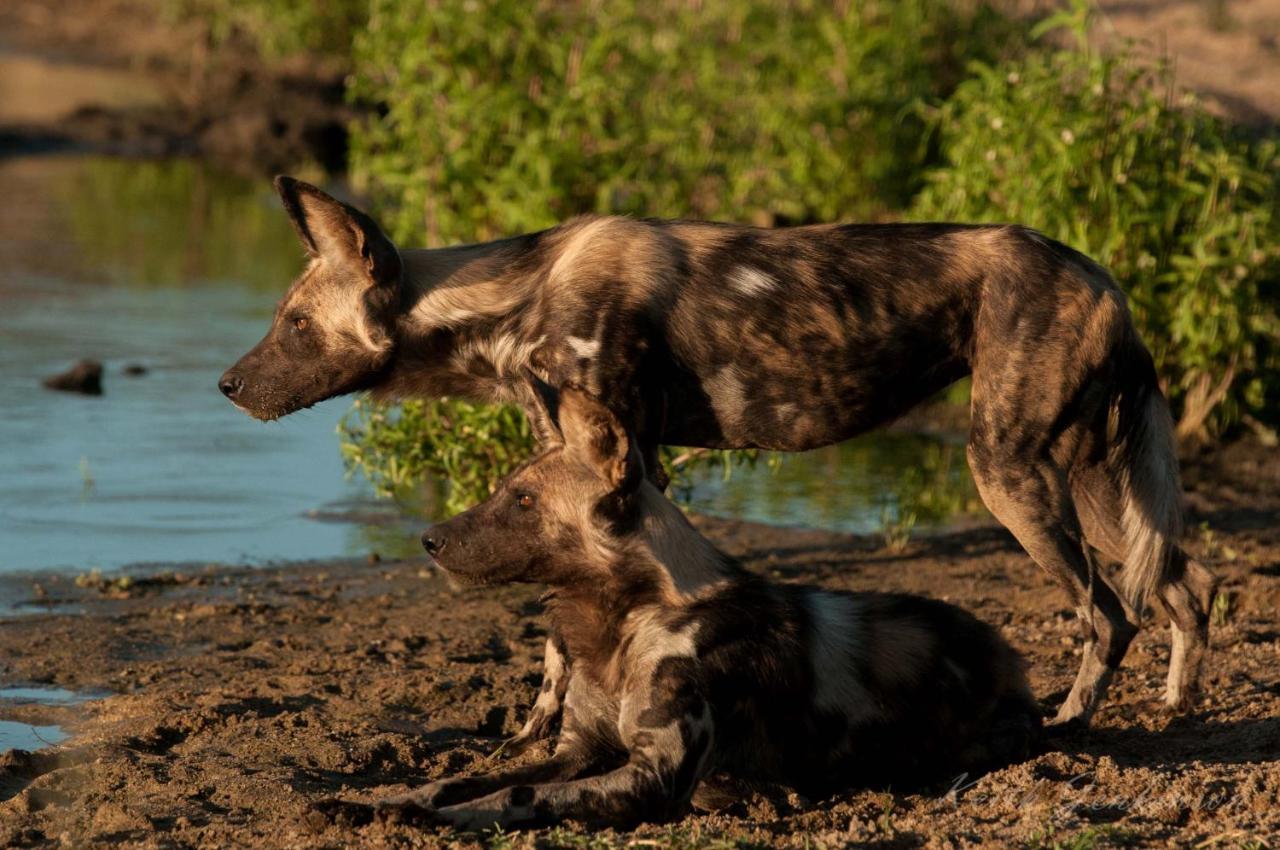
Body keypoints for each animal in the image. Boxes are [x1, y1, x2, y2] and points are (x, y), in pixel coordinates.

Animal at [222, 175, 1218, 732]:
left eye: (297, 325)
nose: (228, 385)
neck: (514, 299)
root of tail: (1104, 277)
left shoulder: (628, 464)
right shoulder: (579, 467)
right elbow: (557, 640)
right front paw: (535, 732)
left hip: (1007, 473)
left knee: (1108, 613)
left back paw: (1069, 724)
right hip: (1093, 482)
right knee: (1185, 585)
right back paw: (1177, 709)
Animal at [327, 386, 1039, 829]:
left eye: (524, 501)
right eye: (505, 491)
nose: (429, 539)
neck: (622, 621)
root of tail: (1006, 652)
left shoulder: (654, 777)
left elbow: (522, 793)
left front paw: (429, 817)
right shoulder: (579, 751)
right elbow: (471, 780)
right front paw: (389, 802)